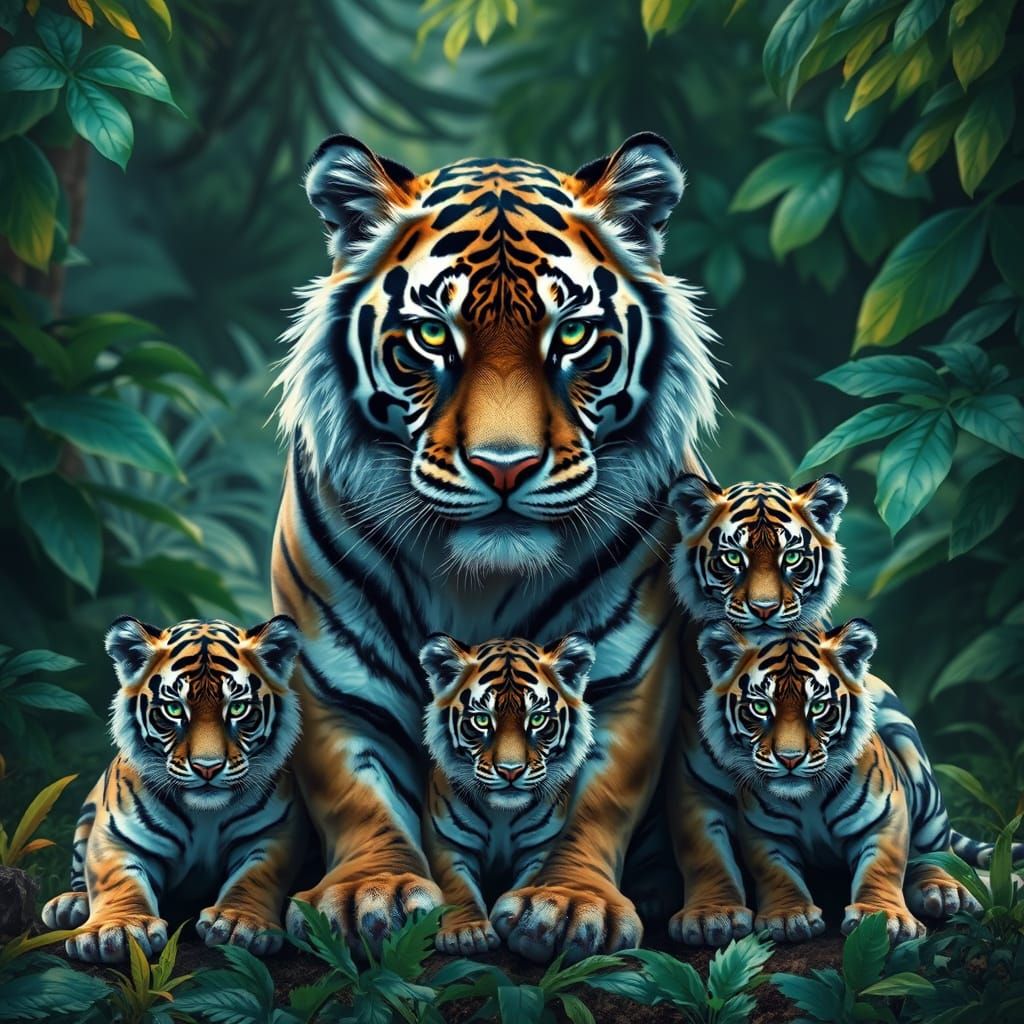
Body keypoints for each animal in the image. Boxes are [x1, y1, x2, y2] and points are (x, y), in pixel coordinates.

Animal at [41, 616, 305, 963]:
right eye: (174, 711)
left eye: (237, 710)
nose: (208, 767)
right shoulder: (116, 836)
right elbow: (117, 880)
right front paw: (115, 931)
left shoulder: (274, 833)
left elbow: (256, 877)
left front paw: (239, 924)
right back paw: (70, 904)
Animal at [419, 632, 596, 955]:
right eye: (482, 720)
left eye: (537, 720)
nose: (510, 771)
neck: (501, 813)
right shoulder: (447, 843)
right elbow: (458, 887)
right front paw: (466, 934)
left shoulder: (539, 849)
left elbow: (528, 881)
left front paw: (520, 918)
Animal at [687, 618, 1015, 944]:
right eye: (761, 708)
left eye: (818, 708)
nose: (790, 758)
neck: (807, 800)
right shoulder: (762, 831)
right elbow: (776, 873)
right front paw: (789, 916)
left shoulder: (886, 816)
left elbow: (881, 868)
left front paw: (885, 920)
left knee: (938, 851)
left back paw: (944, 891)